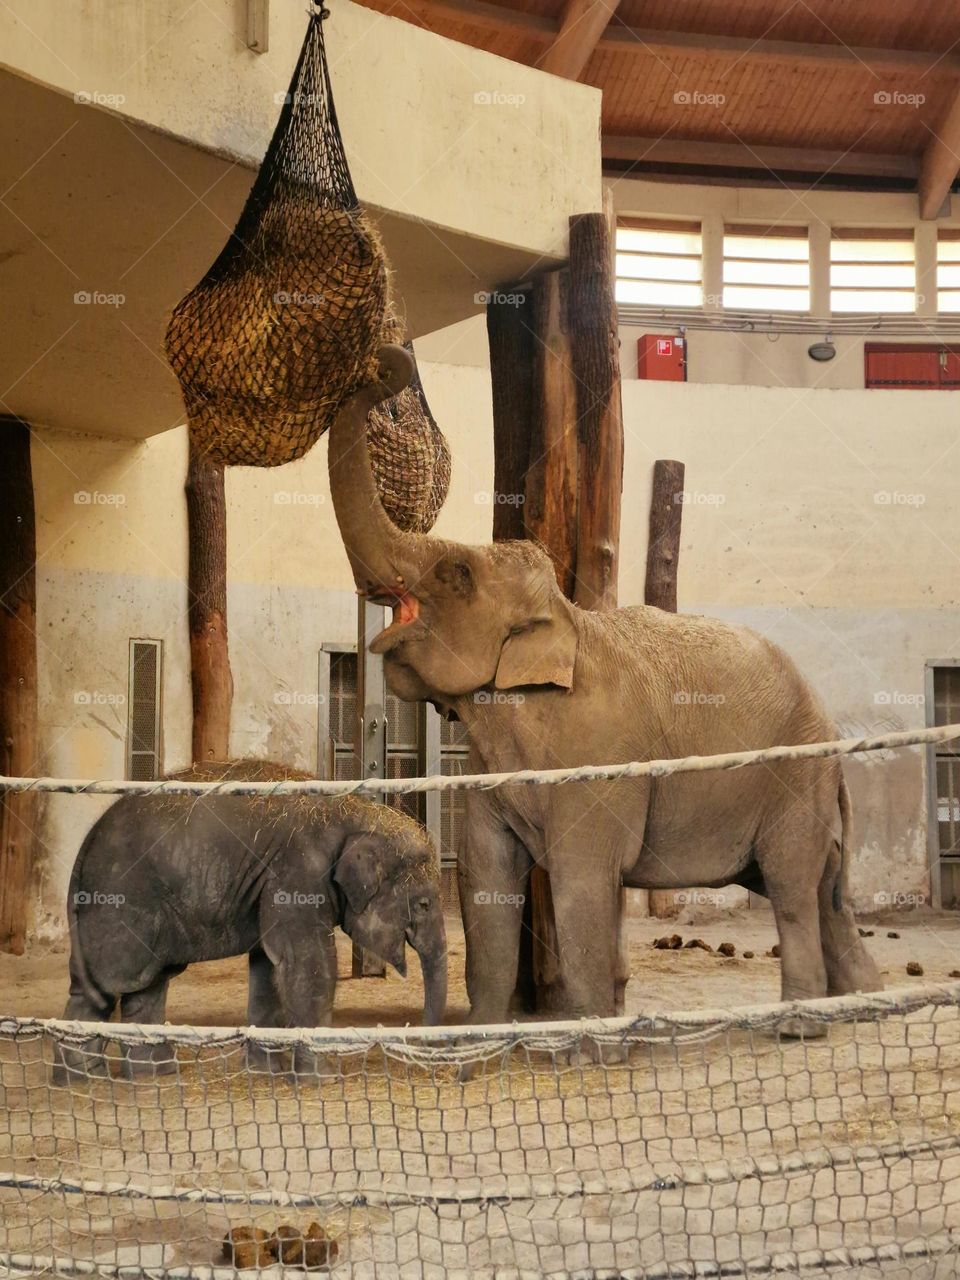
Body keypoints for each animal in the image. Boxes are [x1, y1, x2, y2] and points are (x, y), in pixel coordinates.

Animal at [56, 761, 446, 1079]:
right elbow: (306, 960)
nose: (424, 1055)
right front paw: (323, 1079)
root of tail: (89, 838)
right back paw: (84, 1078)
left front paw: (268, 1073)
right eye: (424, 904)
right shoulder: (298, 872)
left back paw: (152, 1075)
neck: (353, 811)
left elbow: (268, 965)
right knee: (109, 982)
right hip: (120, 900)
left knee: (147, 983)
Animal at [325, 346, 882, 1032]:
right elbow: (486, 873)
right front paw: (487, 1030)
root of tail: (833, 739)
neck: (563, 619)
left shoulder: (599, 762)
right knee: (828, 897)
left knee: (793, 890)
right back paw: (864, 1006)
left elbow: (583, 881)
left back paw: (797, 1027)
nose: (388, 361)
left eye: (456, 573)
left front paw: (589, 1031)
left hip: (793, 780)